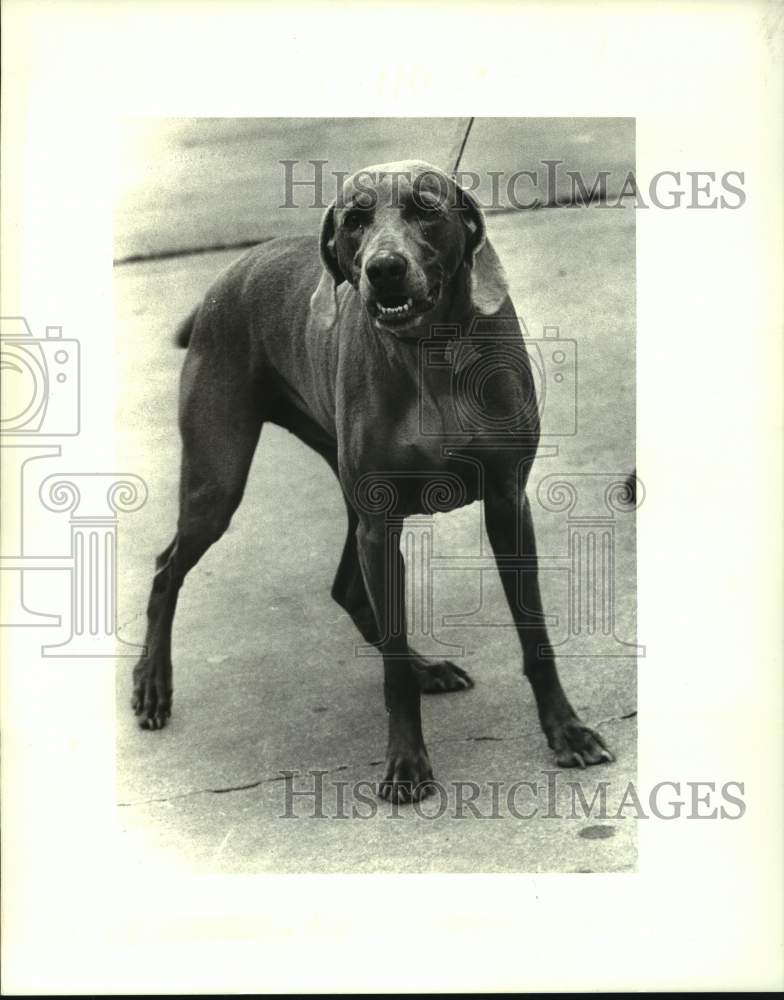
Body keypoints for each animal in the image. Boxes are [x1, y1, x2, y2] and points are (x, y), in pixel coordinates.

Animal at [132, 162, 616, 804]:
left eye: (426, 208)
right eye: (355, 220)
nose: (383, 269)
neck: (432, 352)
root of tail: (225, 277)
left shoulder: (507, 503)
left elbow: (533, 635)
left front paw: (567, 732)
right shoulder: (380, 524)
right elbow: (390, 673)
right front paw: (406, 763)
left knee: (349, 590)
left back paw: (423, 665)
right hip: (219, 479)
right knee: (168, 568)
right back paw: (151, 685)